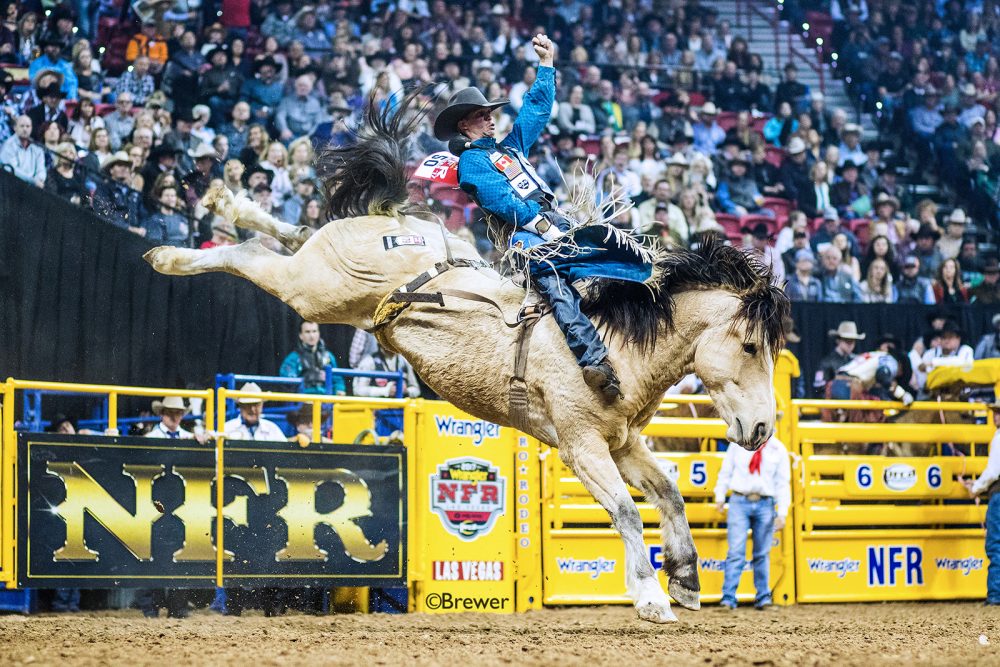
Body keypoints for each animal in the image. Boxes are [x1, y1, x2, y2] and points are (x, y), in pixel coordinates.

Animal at [146, 91, 788, 624]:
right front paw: (653, 599)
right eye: (750, 345)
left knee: (288, 232)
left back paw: (229, 208)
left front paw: (685, 580)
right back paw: (174, 249)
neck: (615, 342)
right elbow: (628, 513)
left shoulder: (622, 441)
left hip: (327, 268)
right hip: (311, 290)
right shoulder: (580, 445)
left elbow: (669, 495)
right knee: (251, 256)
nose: (761, 429)